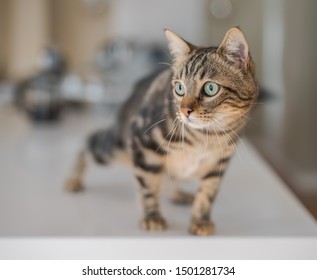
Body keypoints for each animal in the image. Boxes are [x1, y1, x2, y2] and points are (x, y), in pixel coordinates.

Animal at [66, 27, 256, 235]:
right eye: (180, 87)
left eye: (211, 88)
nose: (185, 111)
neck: (206, 136)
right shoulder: (142, 143)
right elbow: (147, 186)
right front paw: (152, 217)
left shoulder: (219, 163)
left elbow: (207, 193)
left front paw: (200, 220)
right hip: (113, 147)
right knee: (89, 143)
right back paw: (73, 179)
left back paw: (178, 194)